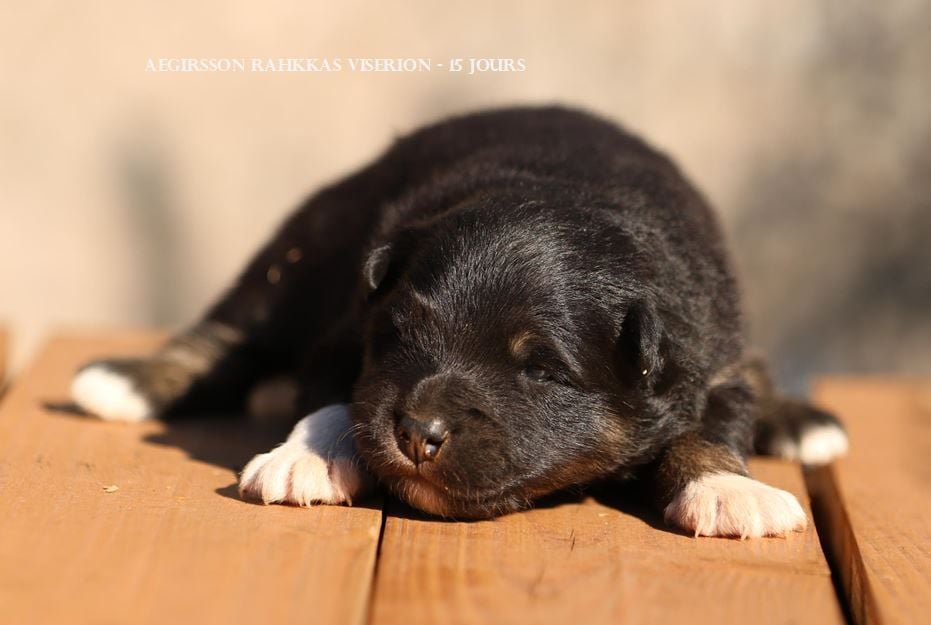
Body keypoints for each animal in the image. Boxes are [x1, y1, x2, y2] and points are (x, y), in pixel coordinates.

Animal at [71, 106, 848, 537]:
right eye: (400, 337)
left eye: (541, 370)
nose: (418, 434)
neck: (571, 191)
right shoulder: (350, 323)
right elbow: (337, 394)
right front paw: (309, 456)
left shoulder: (708, 356)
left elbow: (709, 426)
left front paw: (727, 489)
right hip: (307, 243)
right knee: (233, 327)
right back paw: (127, 381)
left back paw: (795, 418)